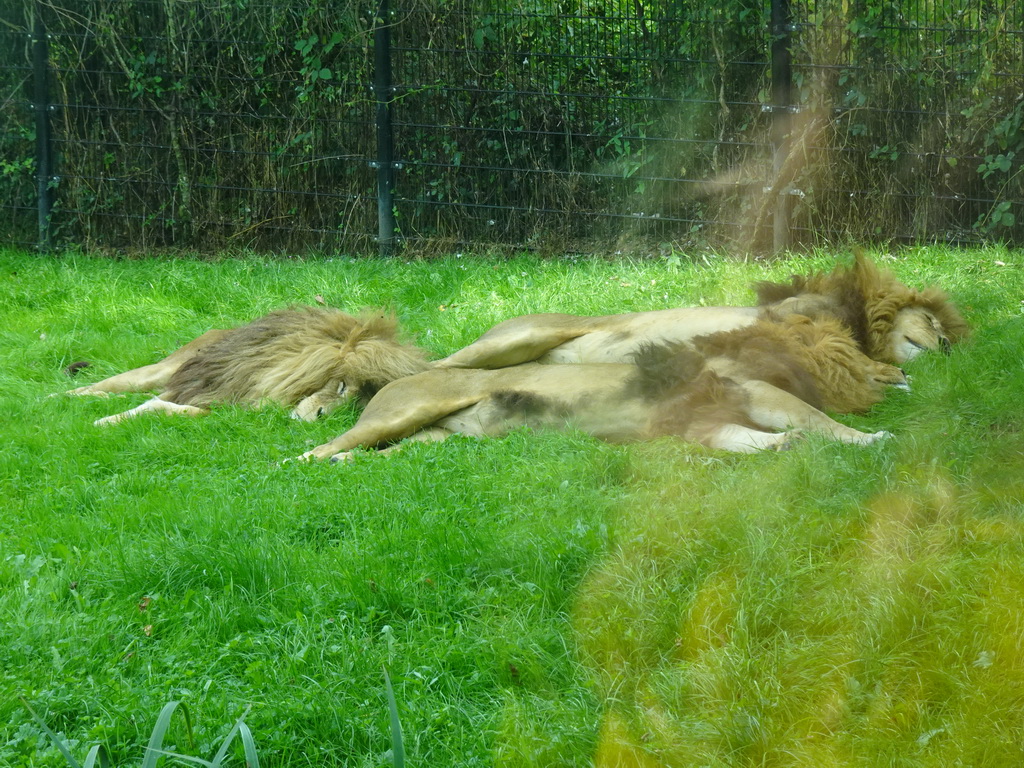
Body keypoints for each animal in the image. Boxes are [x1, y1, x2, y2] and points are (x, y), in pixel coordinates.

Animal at [62, 307, 432, 428]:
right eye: (342, 385)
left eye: (359, 406)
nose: (320, 417)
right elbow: (156, 405)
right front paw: (104, 422)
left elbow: (167, 408)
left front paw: (112, 418)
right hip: (161, 370)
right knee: (101, 386)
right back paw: (59, 400)